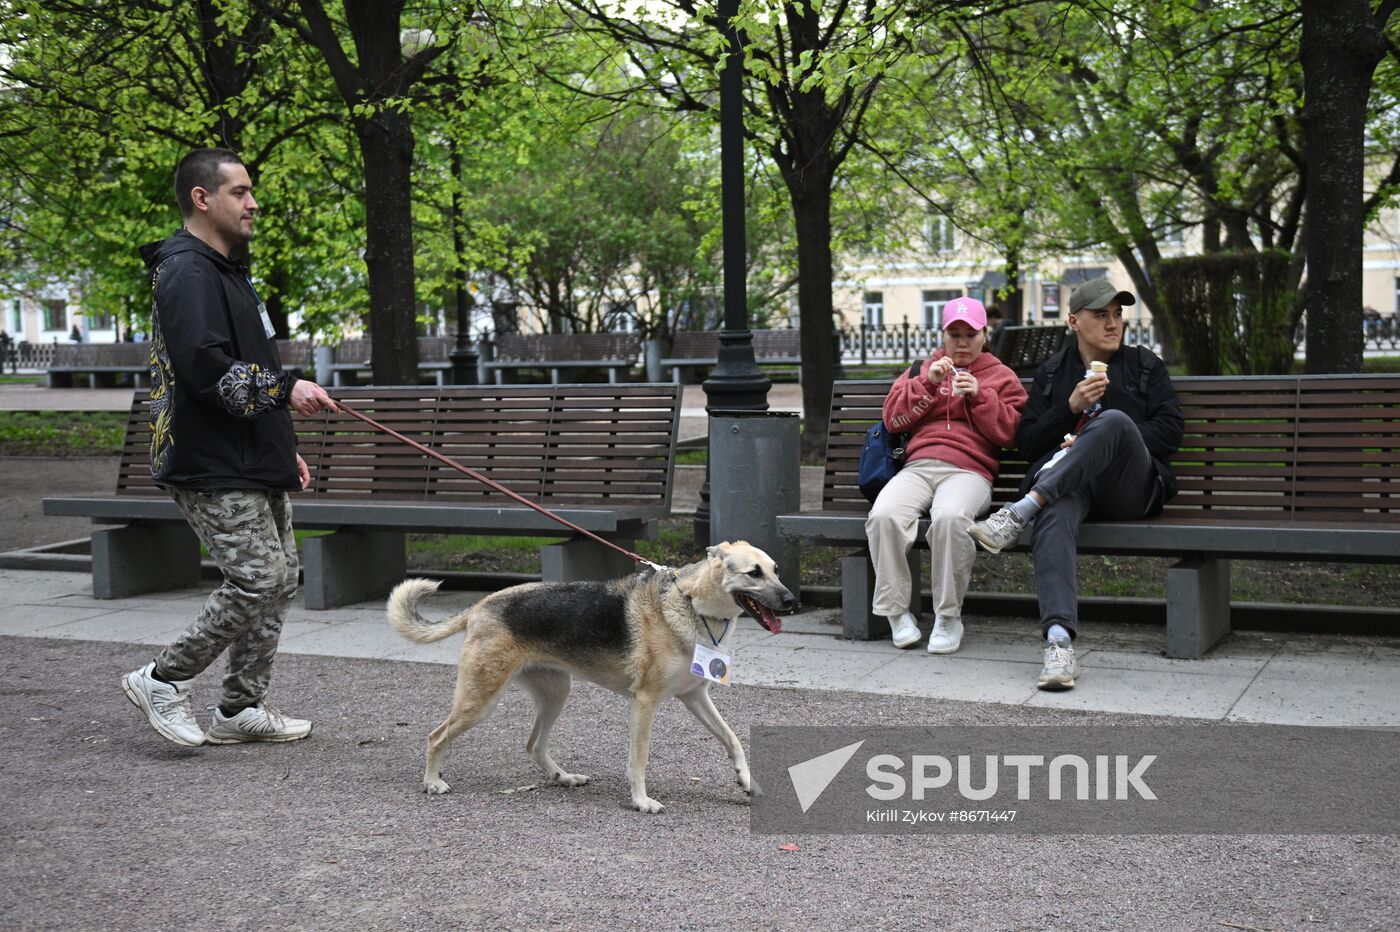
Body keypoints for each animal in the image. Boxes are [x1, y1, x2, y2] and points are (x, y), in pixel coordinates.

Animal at [389, 540, 795, 811]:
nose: (793, 601)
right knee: (436, 737)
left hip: (555, 695)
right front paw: (641, 801)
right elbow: (638, 759)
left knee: (533, 745)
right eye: (754, 573)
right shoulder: (645, 703)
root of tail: (479, 606)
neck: (691, 603)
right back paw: (432, 782)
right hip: (481, 699)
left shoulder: (695, 696)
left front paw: (746, 781)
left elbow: (733, 739)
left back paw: (564, 777)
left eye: (777, 570)